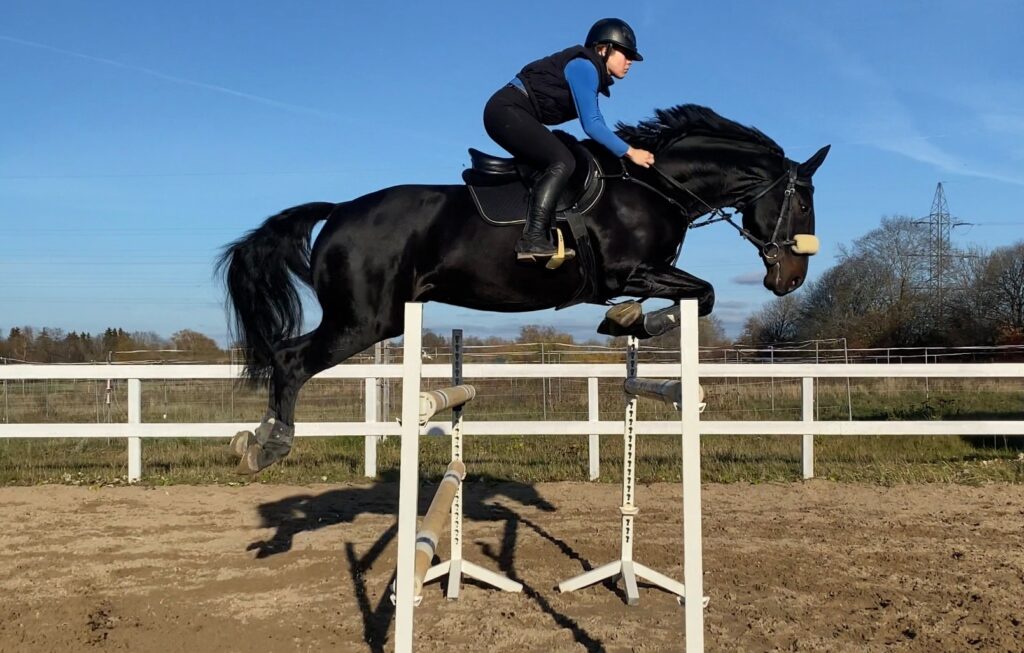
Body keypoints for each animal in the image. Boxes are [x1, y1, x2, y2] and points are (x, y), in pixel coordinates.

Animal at [219, 104, 830, 473]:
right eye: (802, 203)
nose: (789, 279)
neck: (654, 185)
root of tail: (340, 209)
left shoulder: (637, 274)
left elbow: (692, 295)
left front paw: (626, 320)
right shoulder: (621, 272)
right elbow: (702, 294)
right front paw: (636, 319)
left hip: (373, 319)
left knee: (289, 357)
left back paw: (256, 439)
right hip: (363, 320)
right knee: (291, 360)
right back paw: (269, 444)